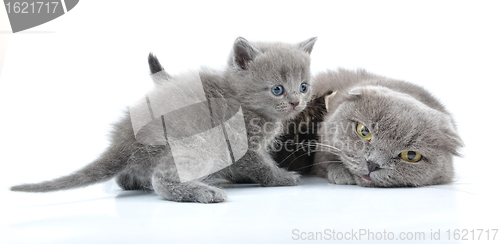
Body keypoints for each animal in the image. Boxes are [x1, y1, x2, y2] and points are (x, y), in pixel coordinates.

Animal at [11, 36, 318, 203]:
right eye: (277, 89)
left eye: (303, 86)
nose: (296, 101)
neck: (241, 102)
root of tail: (124, 139)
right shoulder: (242, 145)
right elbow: (260, 166)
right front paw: (282, 178)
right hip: (199, 144)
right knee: (161, 179)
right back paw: (204, 192)